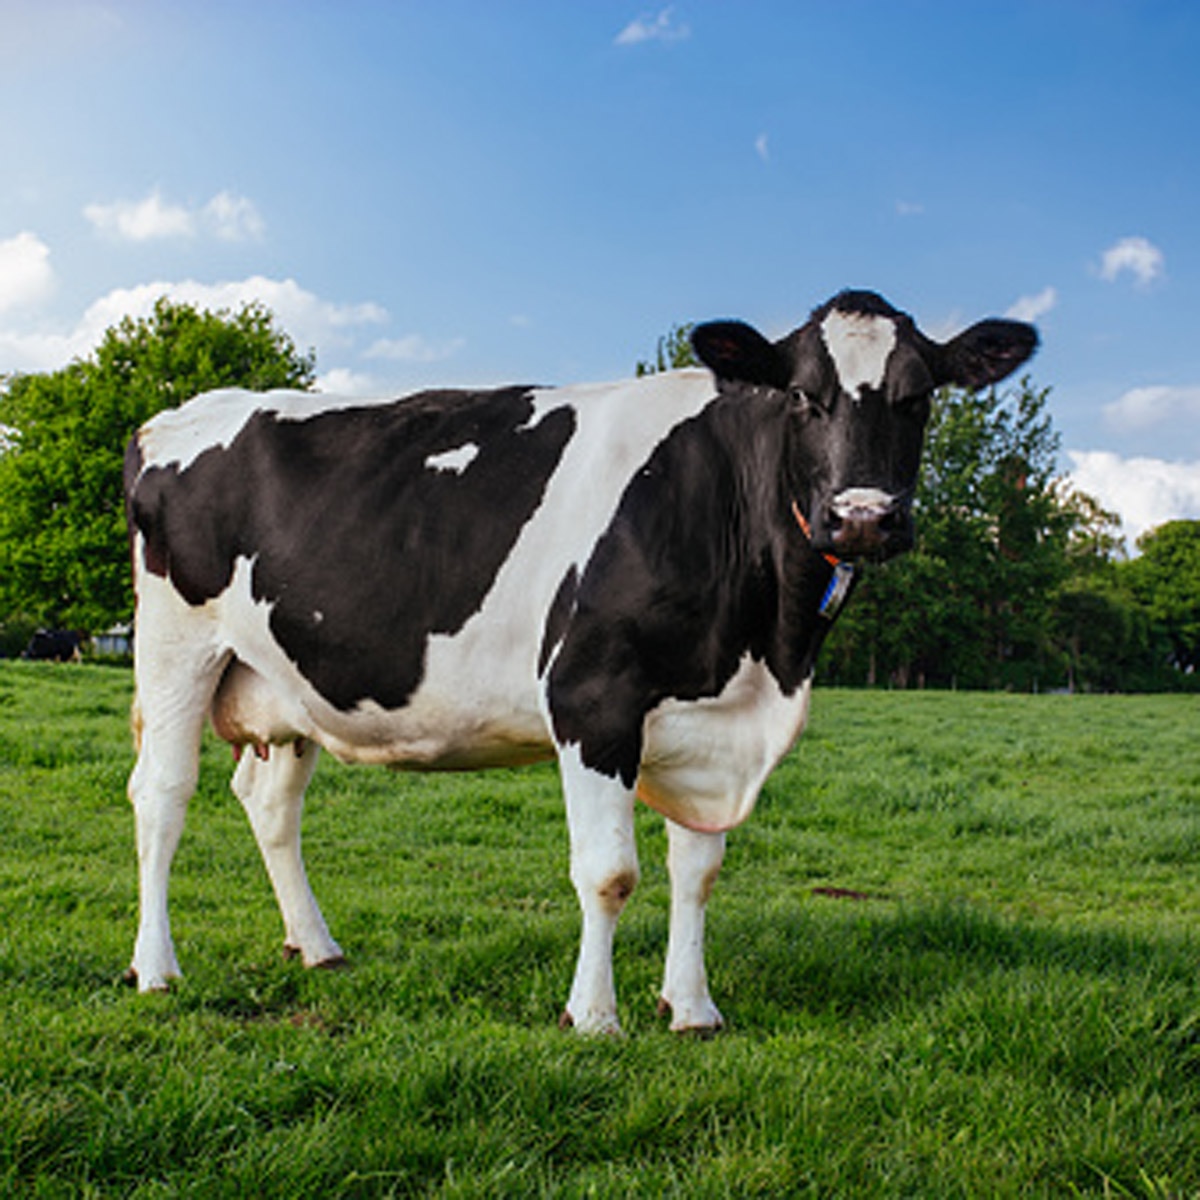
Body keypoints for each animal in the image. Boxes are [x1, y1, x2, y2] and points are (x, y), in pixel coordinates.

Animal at [123, 290, 1036, 1033]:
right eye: (804, 395)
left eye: (919, 397)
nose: (863, 518)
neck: (764, 652)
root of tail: (177, 414)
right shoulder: (592, 697)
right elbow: (609, 874)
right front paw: (594, 1017)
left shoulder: (706, 720)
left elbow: (698, 870)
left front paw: (693, 1008)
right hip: (175, 645)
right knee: (162, 794)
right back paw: (157, 968)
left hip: (287, 681)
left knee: (270, 803)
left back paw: (316, 945)